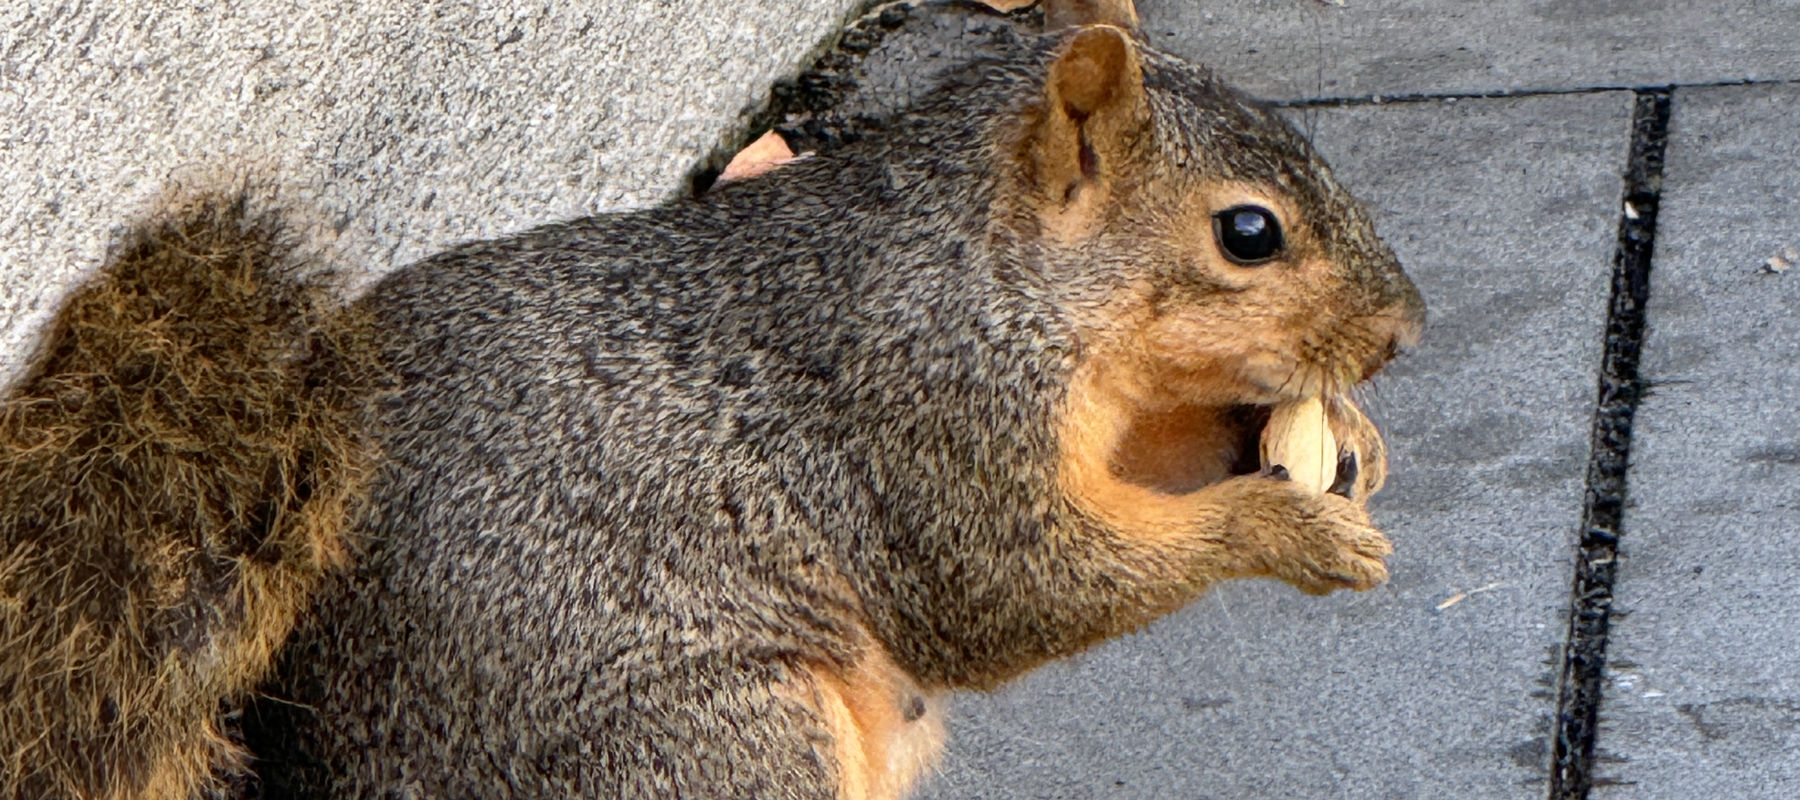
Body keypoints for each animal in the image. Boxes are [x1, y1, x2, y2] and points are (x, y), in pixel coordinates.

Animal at [0, 0, 1424, 798]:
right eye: (1248, 232)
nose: (1403, 332)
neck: (990, 266)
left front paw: (1326, 440)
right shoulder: (916, 411)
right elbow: (1010, 590)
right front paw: (1284, 527)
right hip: (716, 737)